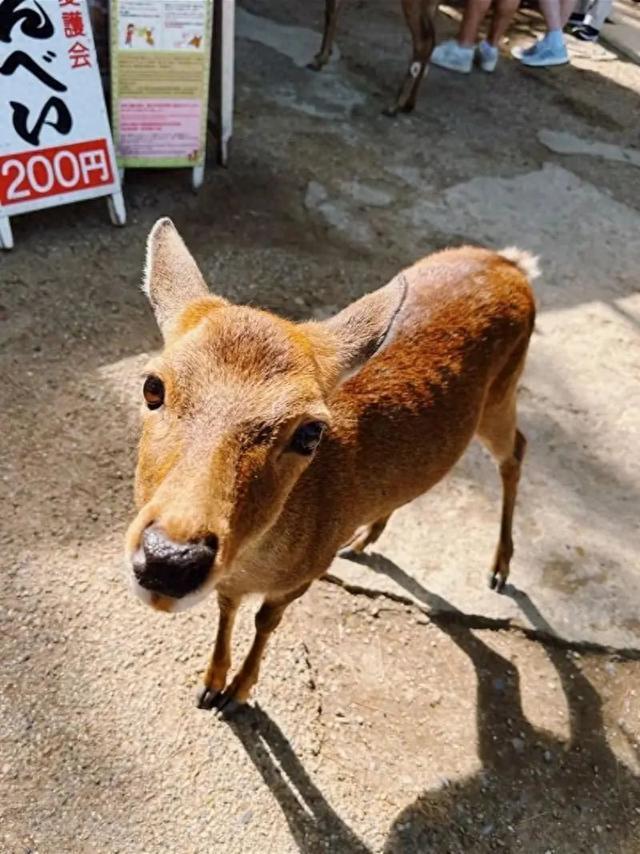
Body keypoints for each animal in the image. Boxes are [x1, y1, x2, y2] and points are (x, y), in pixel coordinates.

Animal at [124, 219, 536, 716]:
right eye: (152, 386)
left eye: (310, 432)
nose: (170, 559)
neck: (260, 560)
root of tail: (513, 265)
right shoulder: (232, 578)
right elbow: (227, 607)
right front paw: (209, 685)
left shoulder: (307, 573)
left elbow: (266, 619)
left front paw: (238, 692)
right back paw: (364, 539)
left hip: (503, 394)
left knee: (517, 450)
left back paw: (499, 569)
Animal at [308, 0, 440, 116]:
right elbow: (331, 12)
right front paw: (322, 55)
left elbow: (331, 11)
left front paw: (320, 60)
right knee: (431, 40)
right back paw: (409, 104)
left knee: (424, 42)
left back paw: (394, 106)